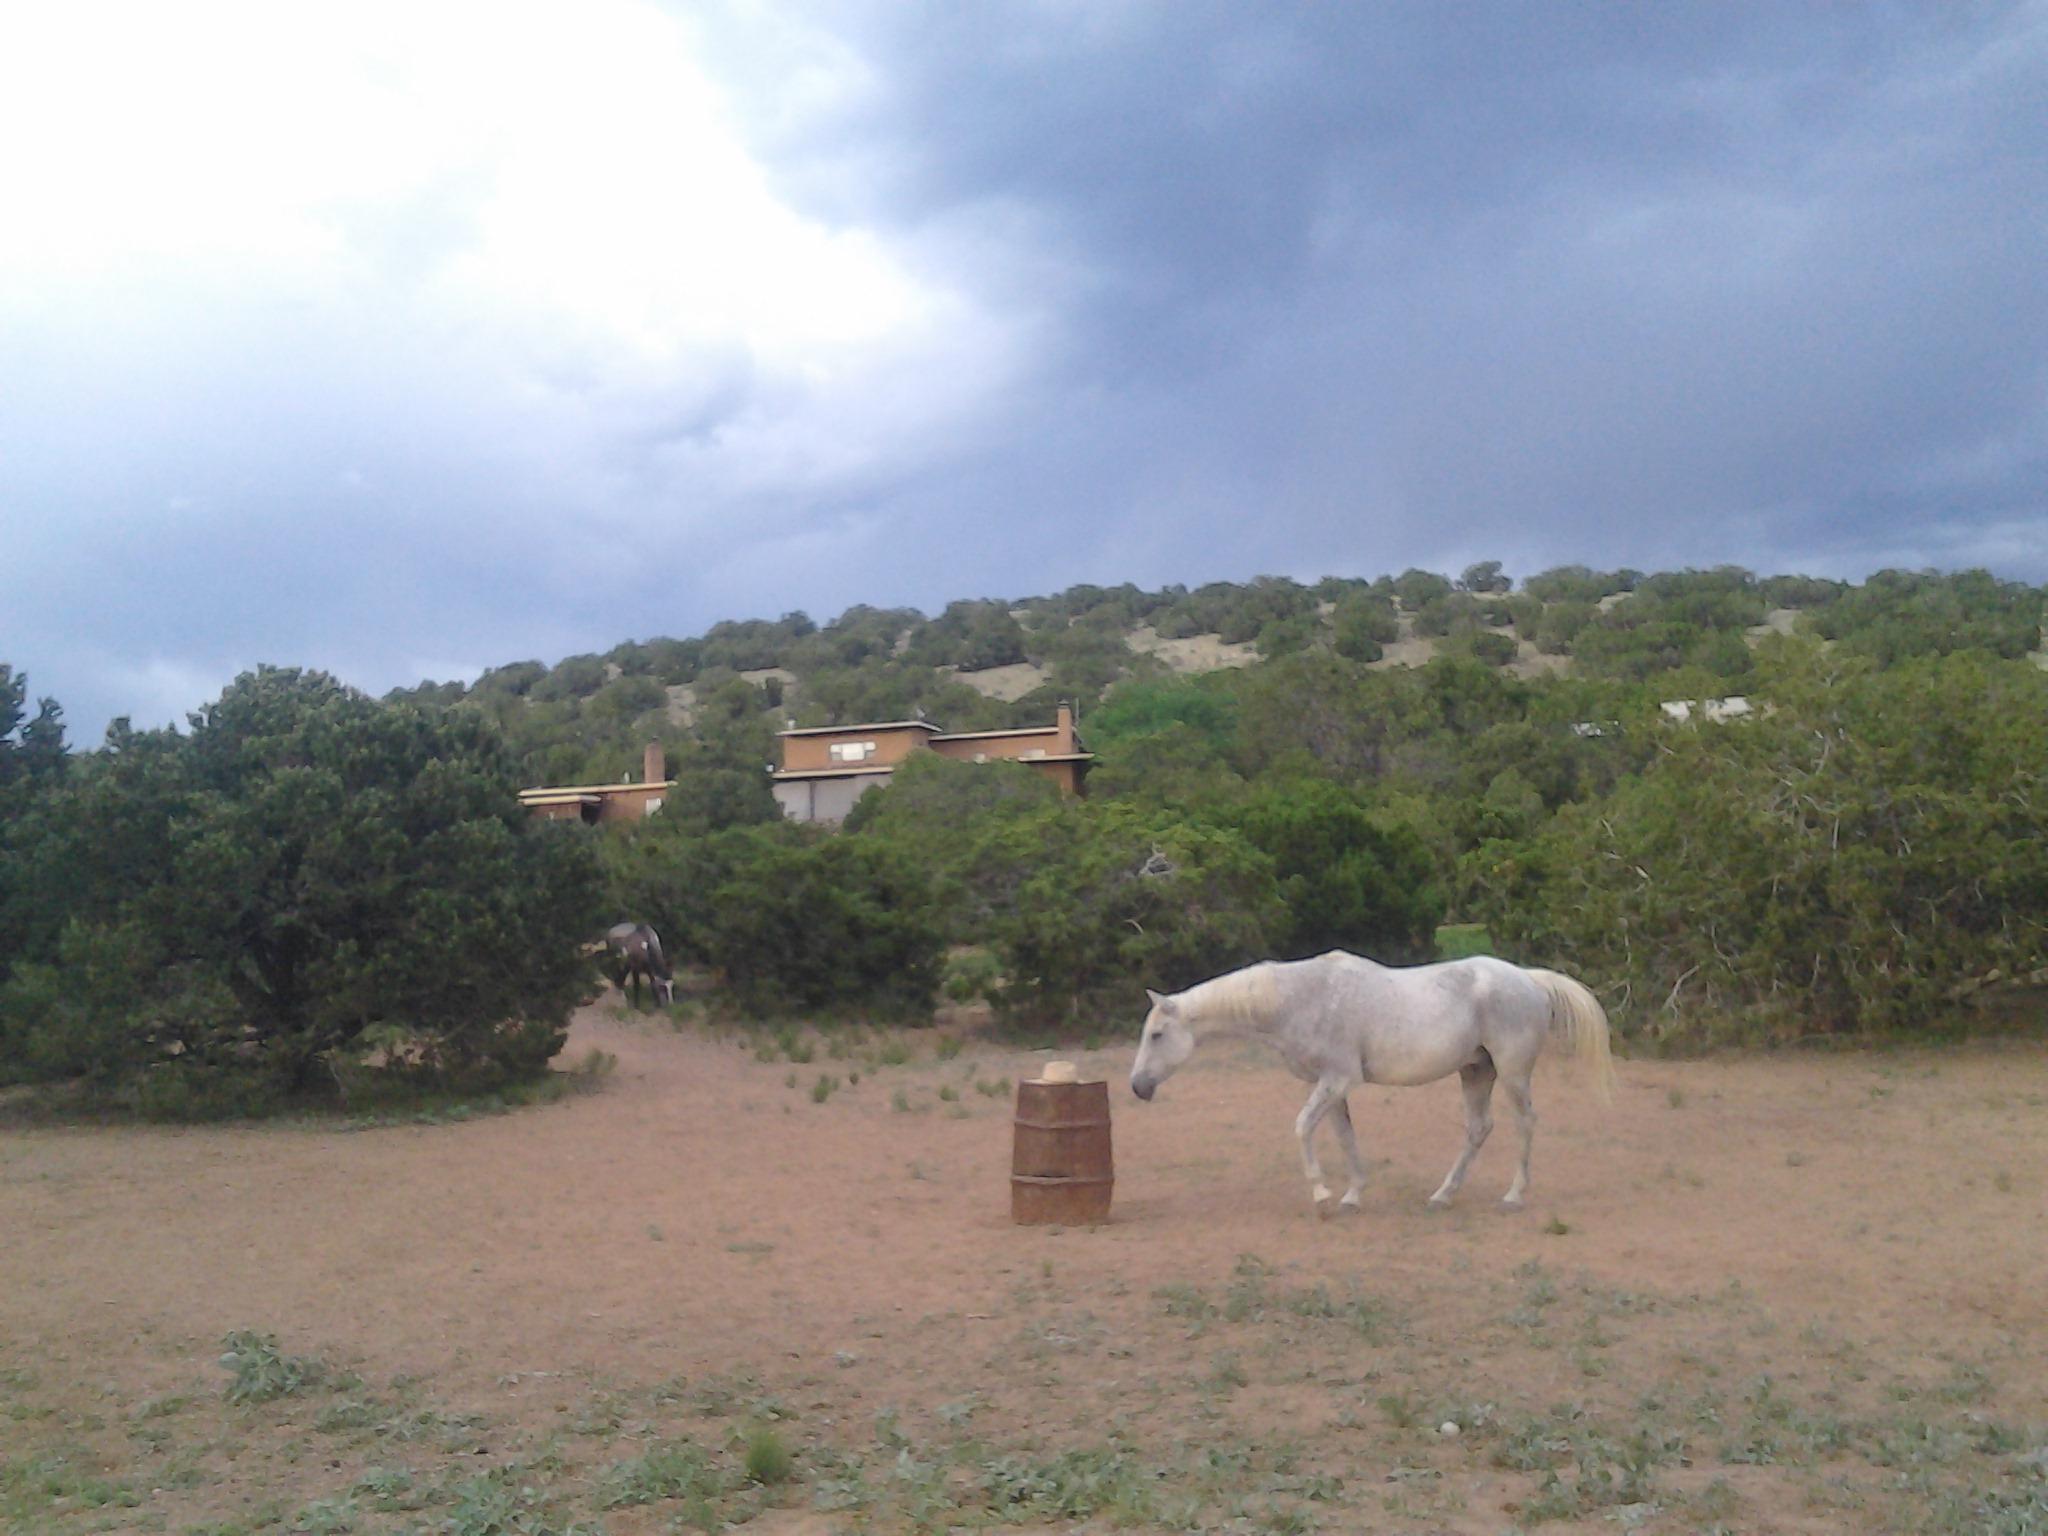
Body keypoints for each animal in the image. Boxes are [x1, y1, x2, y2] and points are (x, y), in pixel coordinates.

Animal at [1130, 950, 1605, 1212]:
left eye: (1157, 1035)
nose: (1137, 1086)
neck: (1300, 998)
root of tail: (1529, 980)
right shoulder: (1330, 1086)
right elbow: (1344, 1137)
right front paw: (1352, 1195)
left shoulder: (1337, 1080)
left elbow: (1302, 1128)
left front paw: (1321, 1196)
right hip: (1476, 1071)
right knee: (1478, 1129)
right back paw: (1442, 1196)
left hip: (1511, 1073)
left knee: (1524, 1123)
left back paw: (1514, 1196)